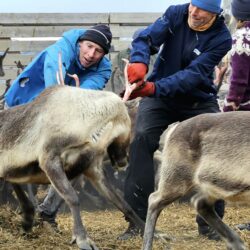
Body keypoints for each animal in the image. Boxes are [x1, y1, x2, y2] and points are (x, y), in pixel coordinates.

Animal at [143, 112, 250, 250]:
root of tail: (174, 128)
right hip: (176, 177)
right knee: (154, 199)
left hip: (210, 185)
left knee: (200, 202)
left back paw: (236, 242)